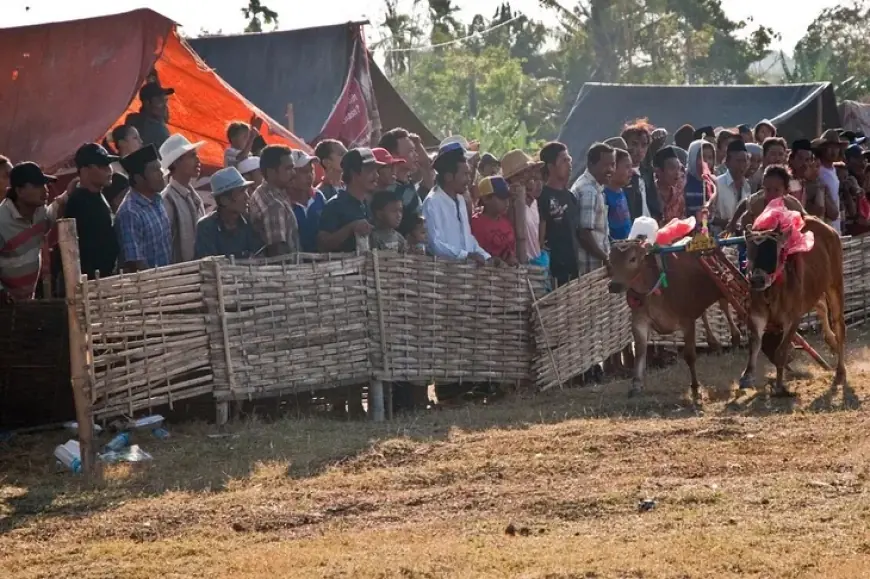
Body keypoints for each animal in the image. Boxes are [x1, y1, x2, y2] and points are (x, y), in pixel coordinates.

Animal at [608, 240, 744, 398]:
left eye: (633, 259)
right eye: (611, 260)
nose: (614, 285)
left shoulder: (687, 321)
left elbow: (690, 355)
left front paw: (695, 386)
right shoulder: (639, 322)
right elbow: (640, 352)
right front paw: (636, 385)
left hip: (720, 287)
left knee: (725, 307)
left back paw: (735, 336)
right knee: (704, 313)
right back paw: (714, 342)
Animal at [740, 215, 848, 396]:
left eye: (774, 251)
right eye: (750, 251)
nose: (757, 280)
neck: (772, 290)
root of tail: (829, 229)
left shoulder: (792, 319)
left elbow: (781, 352)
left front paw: (779, 387)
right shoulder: (756, 315)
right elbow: (754, 344)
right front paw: (747, 376)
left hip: (835, 284)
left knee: (839, 325)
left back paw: (840, 371)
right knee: (821, 306)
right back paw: (830, 340)